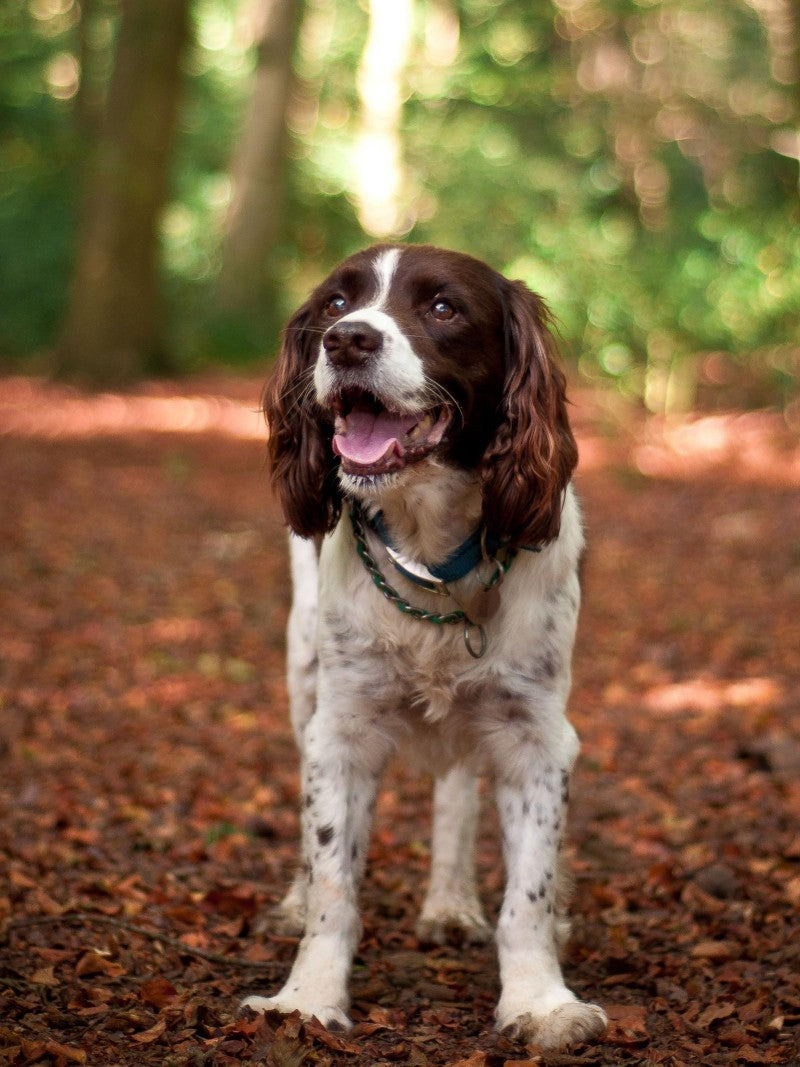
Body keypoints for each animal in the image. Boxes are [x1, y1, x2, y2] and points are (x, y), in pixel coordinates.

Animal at [244, 244, 605, 1049]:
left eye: (442, 308)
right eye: (334, 303)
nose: (347, 340)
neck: (433, 553)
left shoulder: (537, 734)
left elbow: (528, 893)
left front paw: (540, 1001)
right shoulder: (340, 729)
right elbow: (332, 878)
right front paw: (306, 997)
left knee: (457, 794)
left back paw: (450, 902)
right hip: (302, 673)